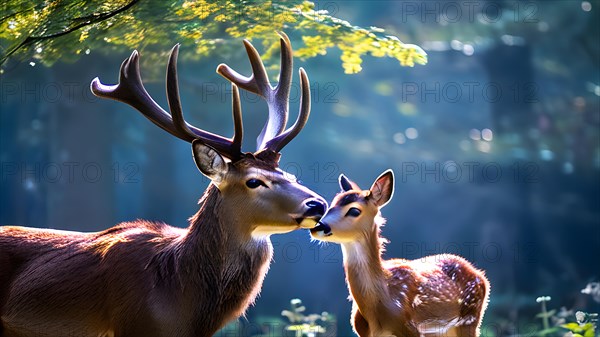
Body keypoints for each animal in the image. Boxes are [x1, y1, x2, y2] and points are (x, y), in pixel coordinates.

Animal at [310, 171, 488, 336]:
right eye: (331, 205)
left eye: (354, 211)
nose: (318, 226)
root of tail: (481, 276)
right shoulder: (363, 331)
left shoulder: (411, 328)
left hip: (470, 319)